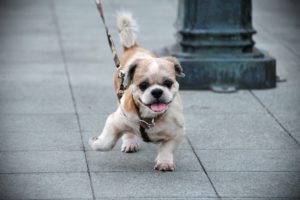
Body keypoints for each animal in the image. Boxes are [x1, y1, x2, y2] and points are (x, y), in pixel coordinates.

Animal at [88, 11, 185, 171]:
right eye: (143, 85)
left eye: (168, 83)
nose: (157, 91)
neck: (150, 118)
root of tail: (133, 47)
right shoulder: (115, 121)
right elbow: (107, 141)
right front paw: (97, 143)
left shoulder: (177, 132)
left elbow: (167, 148)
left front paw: (164, 162)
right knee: (128, 132)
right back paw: (130, 142)